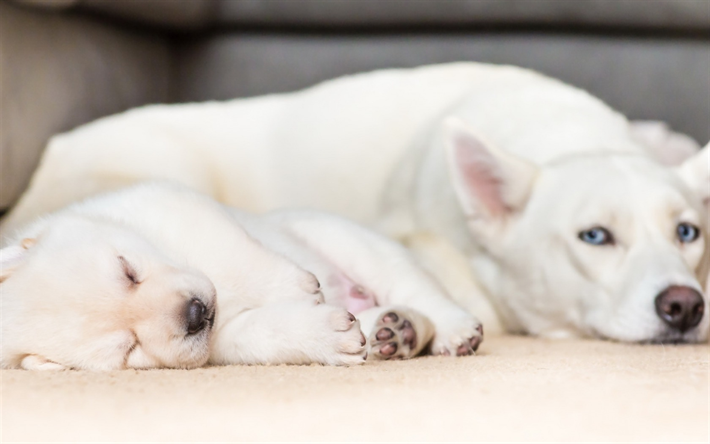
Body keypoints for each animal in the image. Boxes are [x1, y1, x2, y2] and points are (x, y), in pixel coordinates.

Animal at [0, 184, 484, 372]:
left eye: (128, 271)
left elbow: (236, 254)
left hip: (347, 240)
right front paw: (322, 334)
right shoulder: (223, 341)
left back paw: (454, 330)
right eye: (127, 348)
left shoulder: (171, 202)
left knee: (417, 287)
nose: (196, 313)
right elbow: (265, 331)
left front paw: (295, 286)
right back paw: (393, 330)